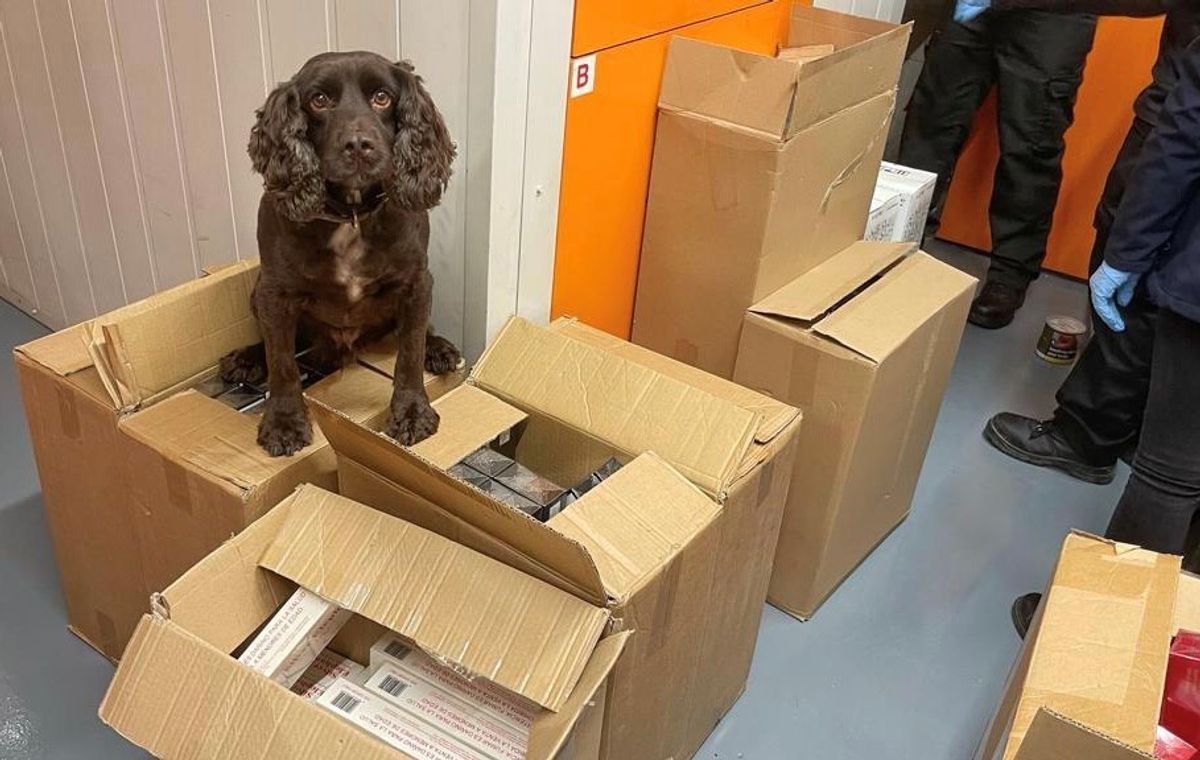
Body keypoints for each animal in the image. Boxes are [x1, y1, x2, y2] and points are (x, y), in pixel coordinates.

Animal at [220, 53, 458, 458]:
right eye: (319, 100)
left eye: (382, 97)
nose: (359, 145)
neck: (352, 214)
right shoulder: (275, 292)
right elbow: (281, 361)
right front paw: (284, 423)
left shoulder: (416, 282)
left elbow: (410, 352)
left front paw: (412, 413)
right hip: (257, 292)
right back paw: (246, 358)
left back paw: (439, 347)